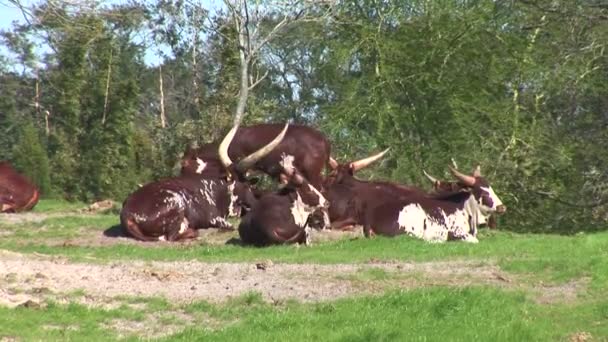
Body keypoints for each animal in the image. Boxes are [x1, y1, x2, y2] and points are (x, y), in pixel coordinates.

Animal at [121, 124, 290, 242]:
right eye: (244, 184)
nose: (253, 203)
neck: (218, 188)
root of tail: (128, 214)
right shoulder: (216, 219)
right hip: (175, 202)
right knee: (171, 237)